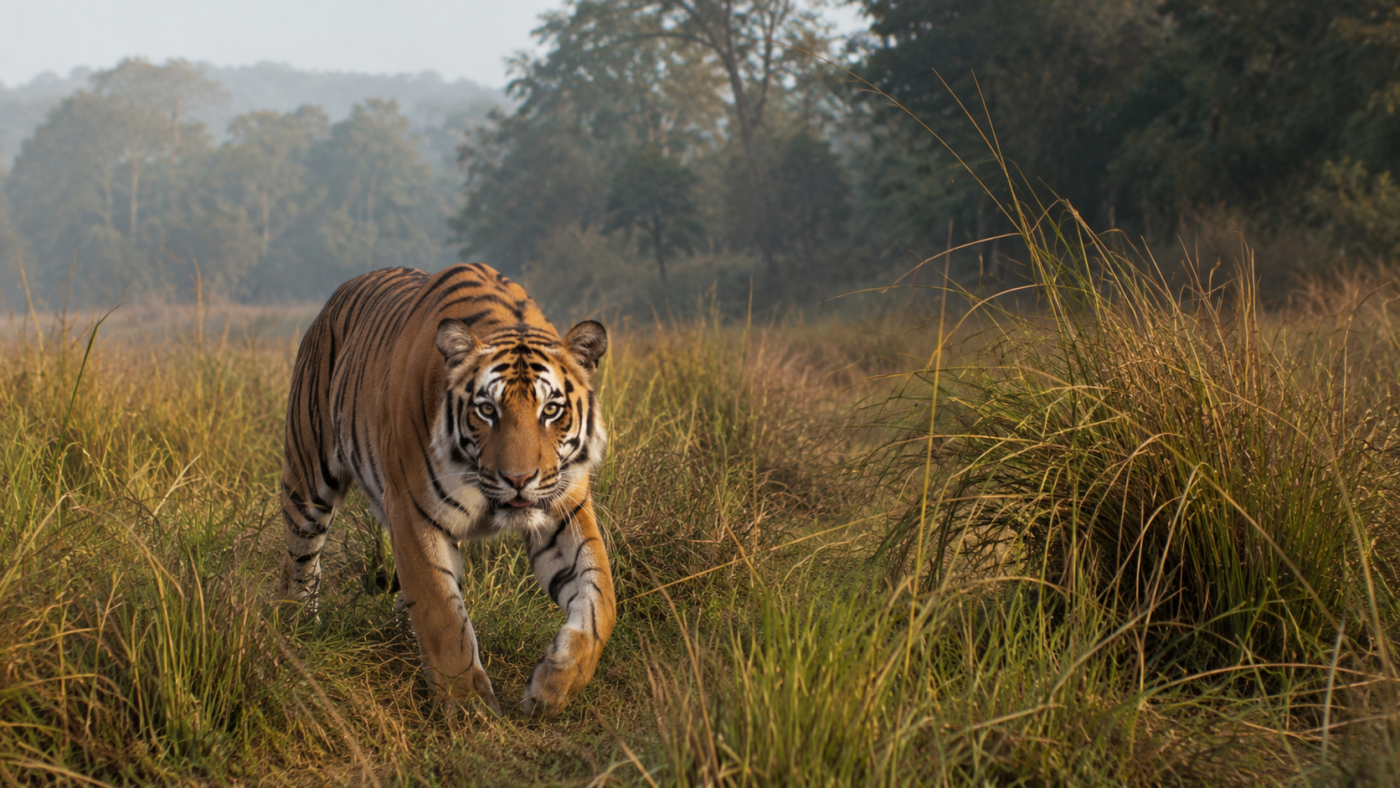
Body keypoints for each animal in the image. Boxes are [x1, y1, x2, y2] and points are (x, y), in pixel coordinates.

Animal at [275, 263, 615, 718]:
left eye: (551, 410)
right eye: (487, 410)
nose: (519, 479)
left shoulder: (564, 511)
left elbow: (601, 599)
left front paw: (555, 684)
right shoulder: (413, 510)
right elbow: (441, 611)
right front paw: (468, 705)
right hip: (308, 477)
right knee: (299, 563)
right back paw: (298, 628)